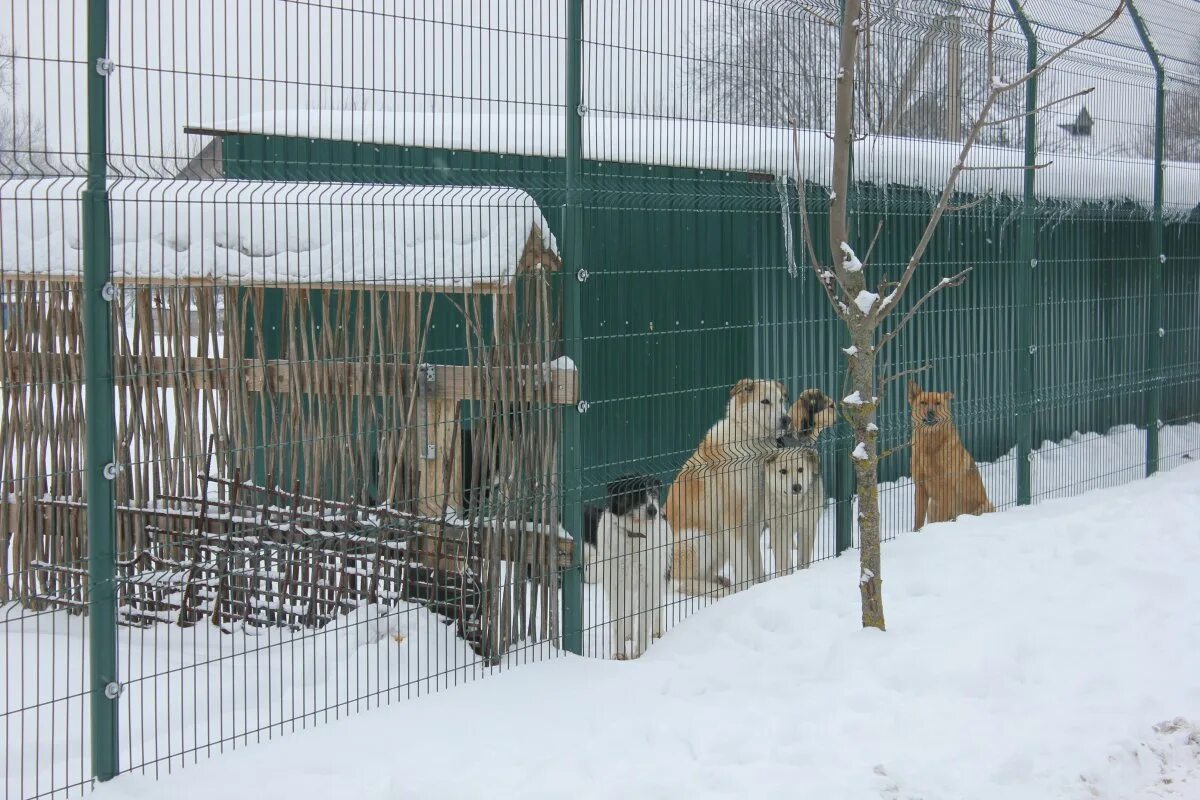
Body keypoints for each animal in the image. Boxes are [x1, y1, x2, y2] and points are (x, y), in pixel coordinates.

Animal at [583, 474, 672, 657]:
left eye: (653, 492)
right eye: (635, 492)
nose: (653, 511)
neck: (634, 534)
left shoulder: (649, 582)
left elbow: (645, 620)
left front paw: (640, 653)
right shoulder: (615, 582)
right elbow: (618, 619)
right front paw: (619, 654)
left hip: (662, 574)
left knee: (658, 604)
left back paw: (657, 630)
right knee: (629, 609)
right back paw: (628, 633)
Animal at [667, 381, 787, 594]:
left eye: (781, 400)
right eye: (765, 401)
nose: (786, 420)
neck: (751, 441)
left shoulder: (754, 520)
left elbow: (756, 561)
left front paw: (761, 585)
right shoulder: (733, 522)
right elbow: (745, 566)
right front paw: (747, 590)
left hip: (719, 544)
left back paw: (720, 581)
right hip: (701, 538)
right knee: (677, 582)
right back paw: (719, 591)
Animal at [907, 381, 993, 532]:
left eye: (938, 403)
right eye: (923, 402)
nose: (930, 412)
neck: (930, 447)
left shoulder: (946, 488)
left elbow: (942, 517)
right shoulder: (920, 486)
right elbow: (918, 519)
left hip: (985, 505)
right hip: (932, 506)